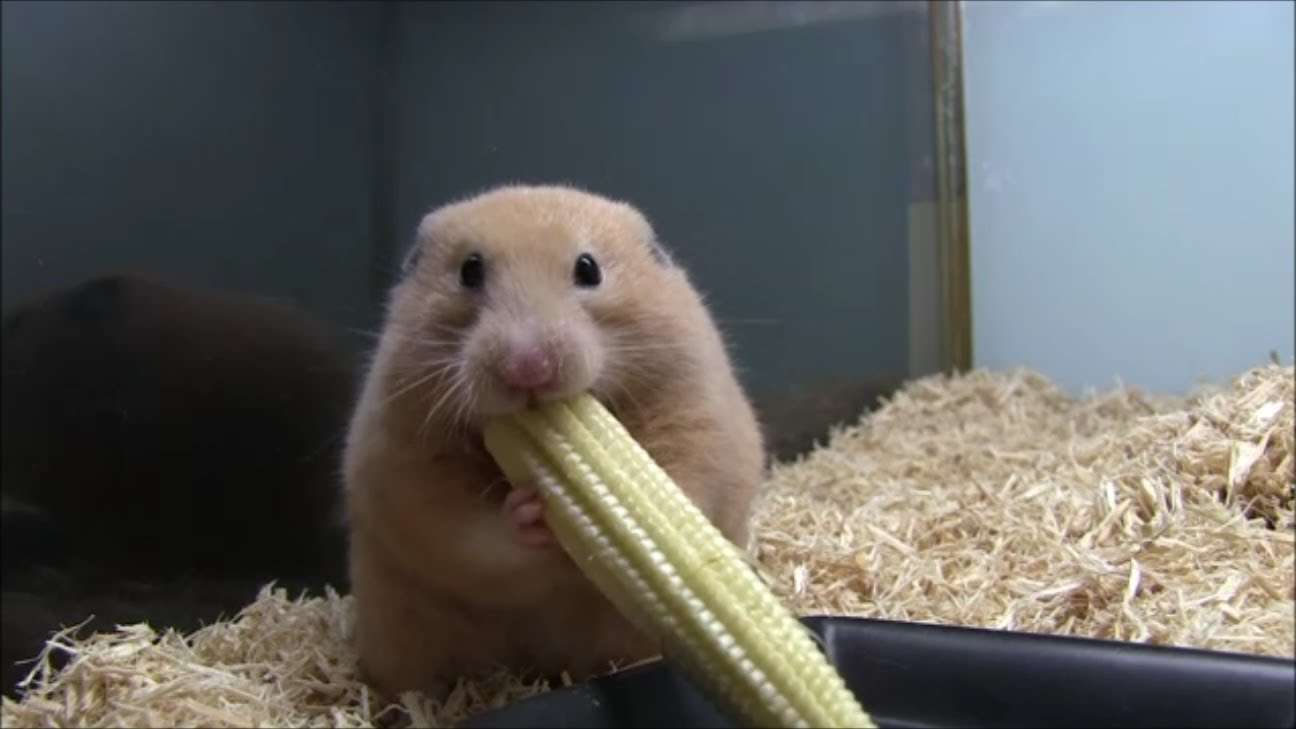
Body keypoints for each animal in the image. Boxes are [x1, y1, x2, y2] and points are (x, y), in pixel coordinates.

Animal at [342, 185, 767, 698]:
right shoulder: (406, 460)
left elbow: (683, 479)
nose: (528, 368)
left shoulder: (695, 413)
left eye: (588, 269)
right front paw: (532, 511)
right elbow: (468, 529)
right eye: (469, 271)